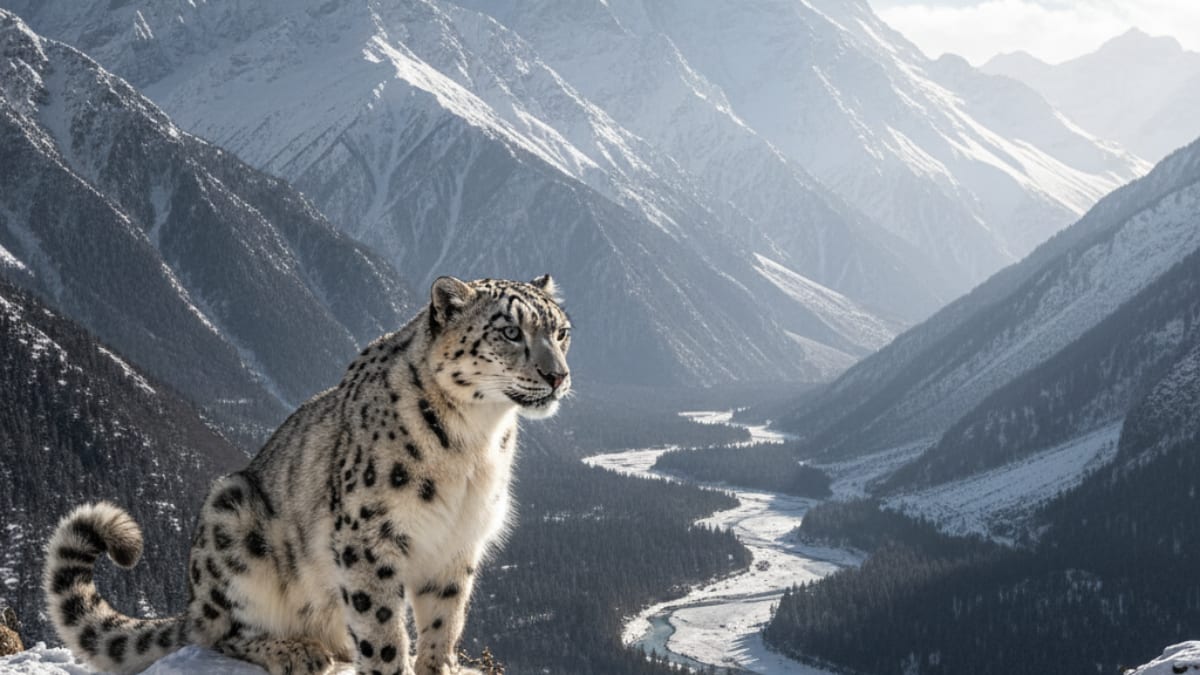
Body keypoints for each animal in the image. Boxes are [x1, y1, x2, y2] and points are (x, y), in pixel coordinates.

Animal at [42, 275, 572, 675]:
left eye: (562, 331)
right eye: (510, 332)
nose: (558, 376)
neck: (473, 444)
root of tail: (194, 601)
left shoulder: (457, 544)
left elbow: (444, 625)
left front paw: (440, 664)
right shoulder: (370, 539)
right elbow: (383, 630)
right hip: (232, 519)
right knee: (222, 631)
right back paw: (297, 652)